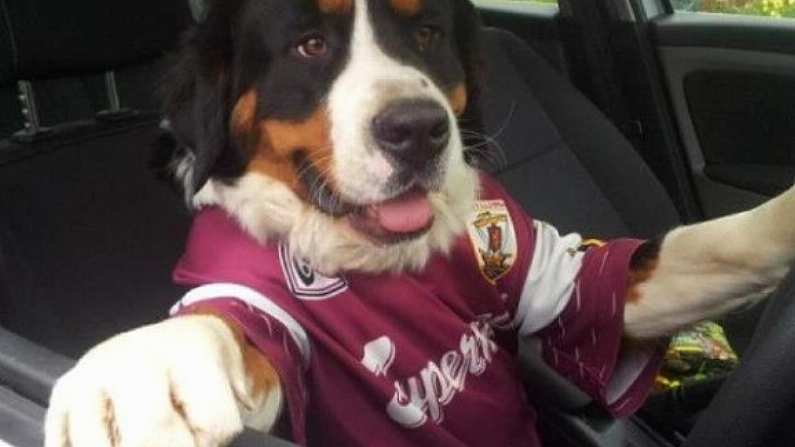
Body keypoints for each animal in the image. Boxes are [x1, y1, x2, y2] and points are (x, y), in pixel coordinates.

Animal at [45, 0, 795, 446]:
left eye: (427, 34)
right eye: (310, 45)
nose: (417, 129)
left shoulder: (546, 272)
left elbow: (711, 246)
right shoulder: (260, 305)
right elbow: (218, 325)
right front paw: (147, 371)